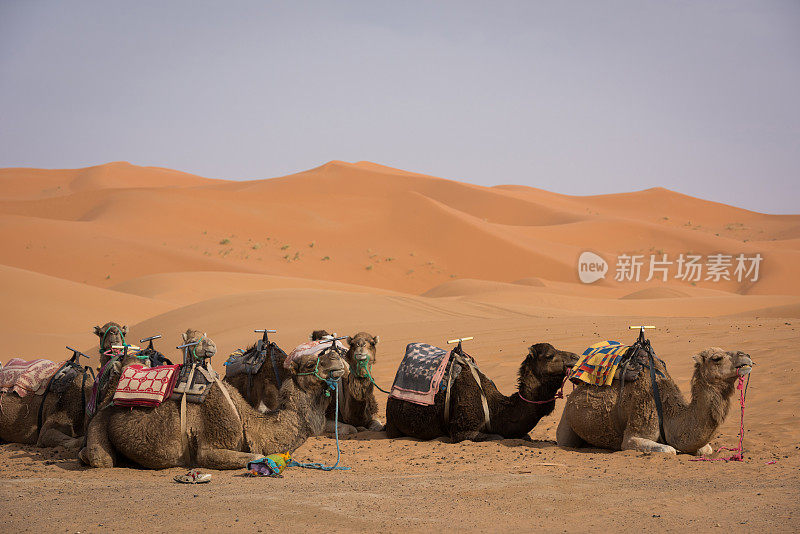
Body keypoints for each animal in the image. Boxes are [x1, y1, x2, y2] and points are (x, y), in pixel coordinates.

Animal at [83, 332, 346, 472]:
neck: (249, 422)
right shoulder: (210, 447)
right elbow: (253, 456)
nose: (337, 358)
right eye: (311, 363)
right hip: (100, 420)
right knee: (100, 458)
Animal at [384, 344, 580, 444]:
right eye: (549, 355)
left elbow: (525, 436)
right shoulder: (463, 431)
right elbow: (497, 436)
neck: (495, 409)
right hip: (393, 422)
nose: (576, 357)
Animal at [560, 348, 752, 456]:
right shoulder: (634, 434)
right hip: (565, 422)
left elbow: (707, 448)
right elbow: (669, 450)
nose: (747, 356)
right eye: (717, 358)